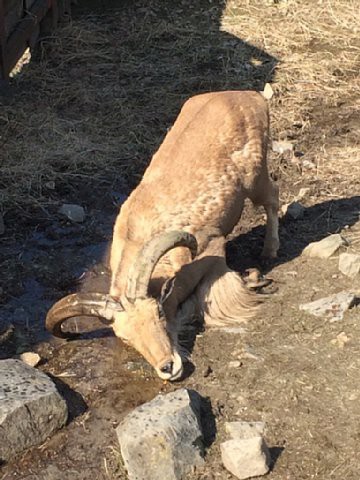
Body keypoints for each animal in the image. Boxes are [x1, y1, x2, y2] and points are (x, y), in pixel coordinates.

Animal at [45, 90, 280, 382]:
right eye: (126, 338)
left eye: (158, 311)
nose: (167, 367)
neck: (137, 234)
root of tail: (250, 96)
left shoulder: (211, 247)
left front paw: (252, 280)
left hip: (255, 178)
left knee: (272, 197)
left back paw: (270, 250)